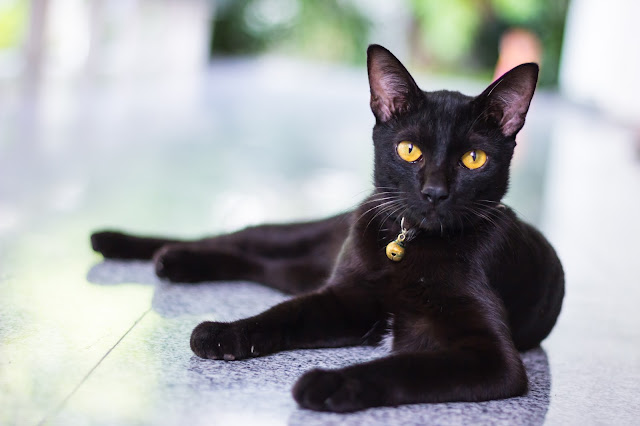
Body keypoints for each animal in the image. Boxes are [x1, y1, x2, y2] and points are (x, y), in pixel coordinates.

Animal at [92, 45, 564, 412]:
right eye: (409, 150)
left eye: (473, 160)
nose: (434, 192)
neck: (408, 245)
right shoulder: (344, 298)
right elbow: (282, 314)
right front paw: (224, 333)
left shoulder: (491, 357)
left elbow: (404, 365)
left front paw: (329, 383)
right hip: (296, 240)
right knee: (237, 238)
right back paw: (129, 245)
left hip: (296, 271)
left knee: (253, 263)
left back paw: (170, 263)